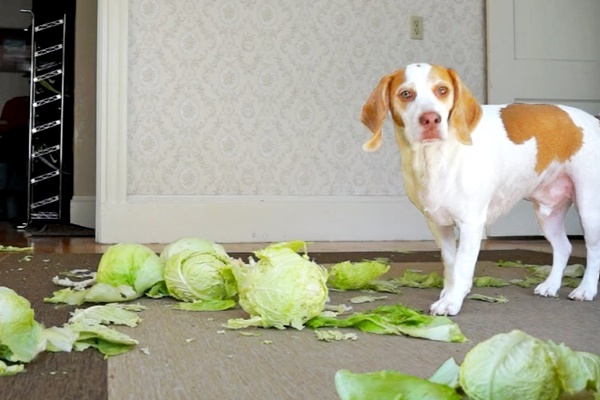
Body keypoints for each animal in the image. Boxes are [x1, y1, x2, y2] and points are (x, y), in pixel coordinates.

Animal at [360, 62, 600, 316]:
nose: (431, 119)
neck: (436, 159)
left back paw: (586, 289)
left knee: (594, 253)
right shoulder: (438, 224)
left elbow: (463, 266)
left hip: (589, 210)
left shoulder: (471, 224)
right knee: (564, 247)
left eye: (442, 90)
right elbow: (451, 263)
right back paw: (551, 285)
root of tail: (594, 121)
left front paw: (452, 301)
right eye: (406, 94)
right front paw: (451, 292)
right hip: (548, 215)